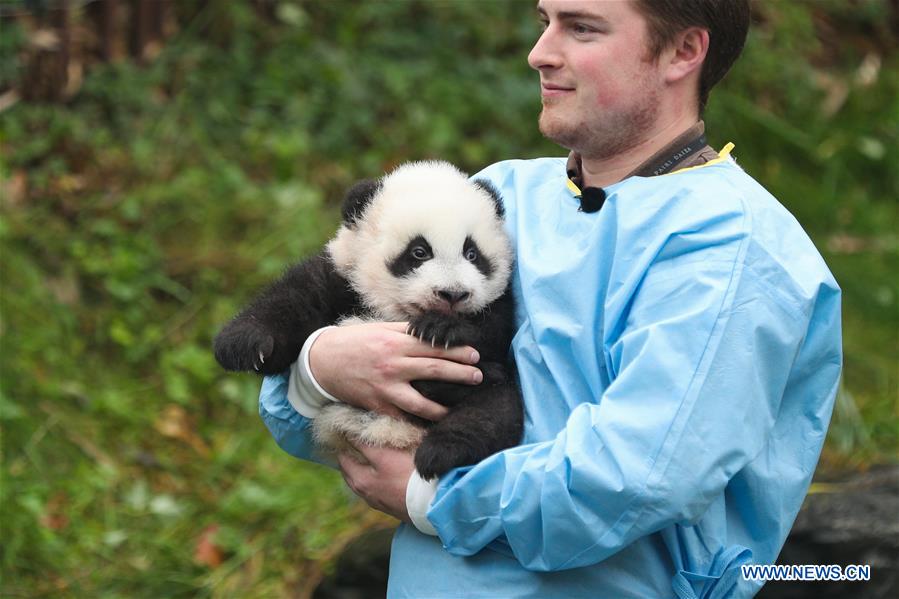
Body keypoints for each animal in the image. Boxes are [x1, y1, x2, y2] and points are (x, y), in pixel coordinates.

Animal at [214, 161, 523, 479]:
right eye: (419, 252)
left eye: (472, 253)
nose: (453, 294)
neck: (398, 313)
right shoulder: (342, 278)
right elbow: (295, 300)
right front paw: (244, 345)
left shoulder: (498, 305)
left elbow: (491, 332)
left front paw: (441, 328)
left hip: (477, 382)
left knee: (492, 408)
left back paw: (441, 451)